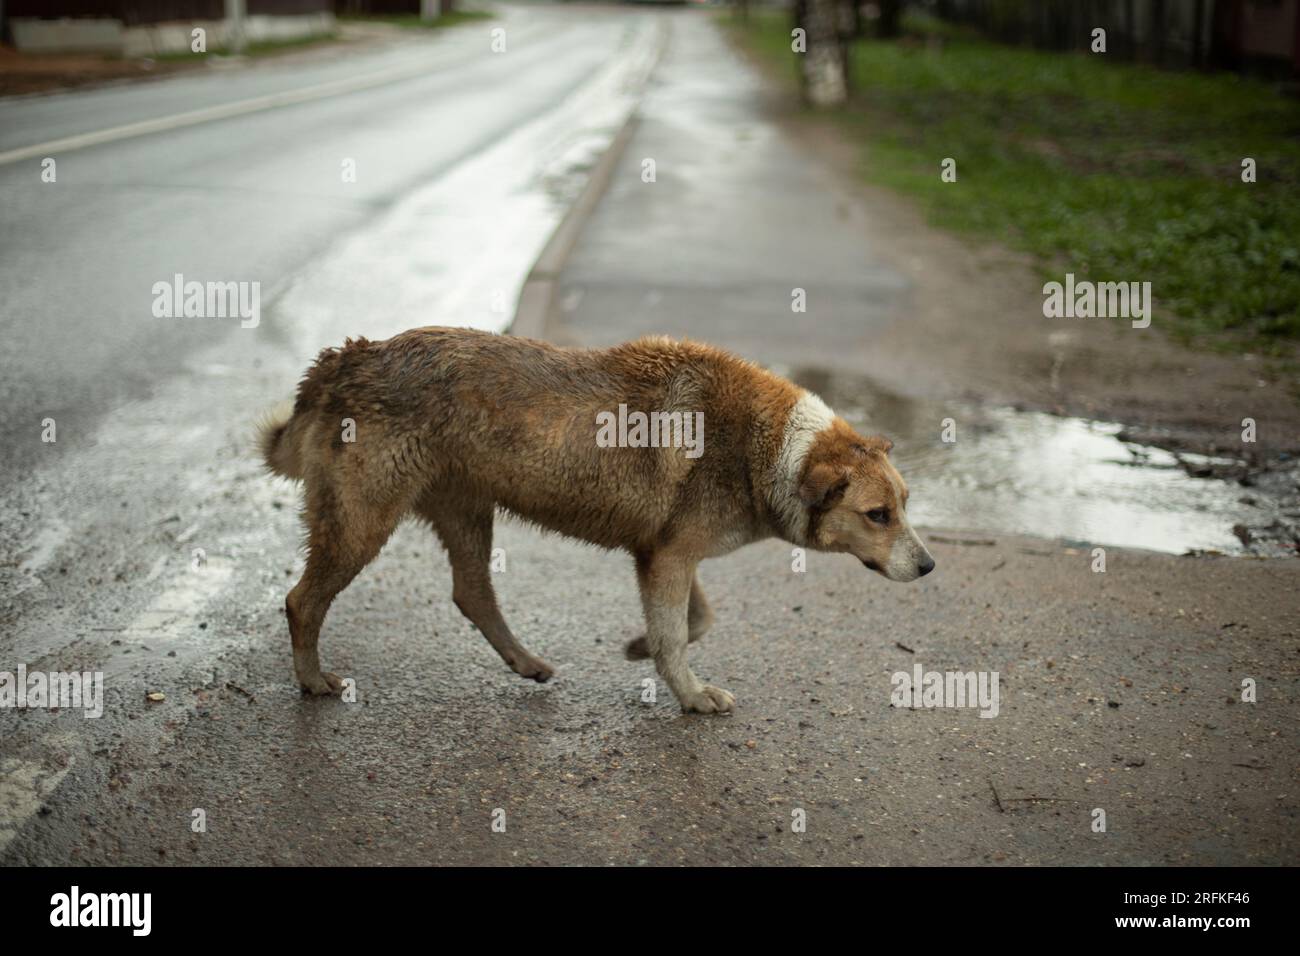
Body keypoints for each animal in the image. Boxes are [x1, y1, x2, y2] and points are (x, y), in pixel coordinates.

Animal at [258, 327, 935, 712]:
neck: (766, 447)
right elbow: (678, 634)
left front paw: (643, 649)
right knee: (301, 601)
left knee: (472, 593)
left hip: (465, 509)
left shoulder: (664, 552)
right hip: (363, 523)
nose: (928, 565)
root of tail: (344, 359)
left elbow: (694, 621)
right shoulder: (669, 557)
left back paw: (525, 662)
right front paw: (690, 695)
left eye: (905, 505)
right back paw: (312, 681)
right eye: (878, 515)